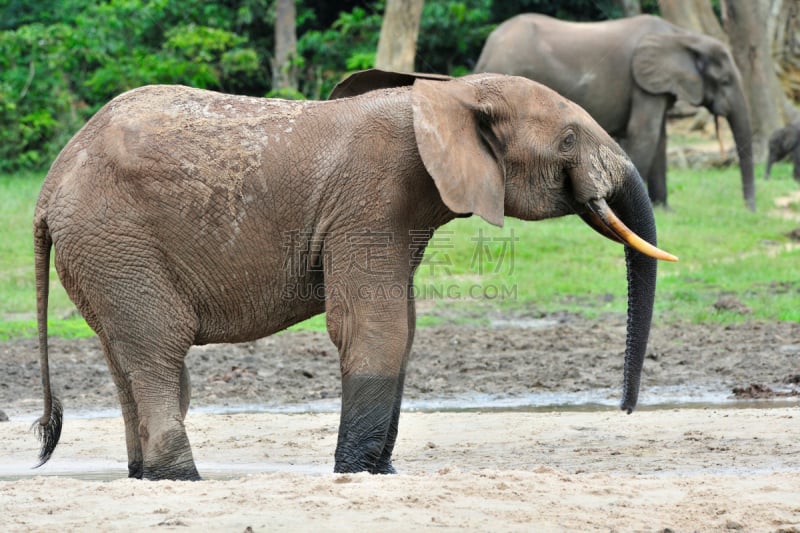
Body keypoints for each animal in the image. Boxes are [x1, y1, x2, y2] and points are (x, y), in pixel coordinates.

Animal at [34, 66, 680, 478]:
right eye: (569, 140)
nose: (625, 411)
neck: (448, 95)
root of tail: (48, 187)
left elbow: (404, 326)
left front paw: (383, 471)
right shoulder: (372, 198)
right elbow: (375, 326)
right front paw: (359, 472)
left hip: (104, 254)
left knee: (126, 356)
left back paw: (145, 477)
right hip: (118, 241)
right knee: (158, 352)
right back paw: (181, 480)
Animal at [476, 13, 756, 211]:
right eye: (725, 81)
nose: (749, 210)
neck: (684, 37)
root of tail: (487, 49)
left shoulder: (655, 87)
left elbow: (660, 139)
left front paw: (664, 210)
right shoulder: (642, 85)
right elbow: (645, 135)